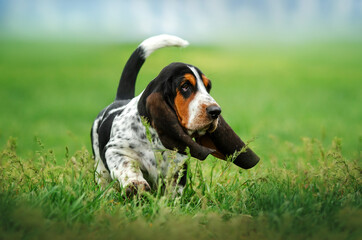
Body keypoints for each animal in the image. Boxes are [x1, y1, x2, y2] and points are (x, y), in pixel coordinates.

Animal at [92, 34, 258, 195]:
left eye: (208, 87)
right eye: (185, 86)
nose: (216, 111)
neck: (155, 141)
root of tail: (120, 99)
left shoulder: (178, 168)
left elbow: (173, 191)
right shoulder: (115, 150)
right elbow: (128, 165)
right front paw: (136, 184)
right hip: (100, 168)